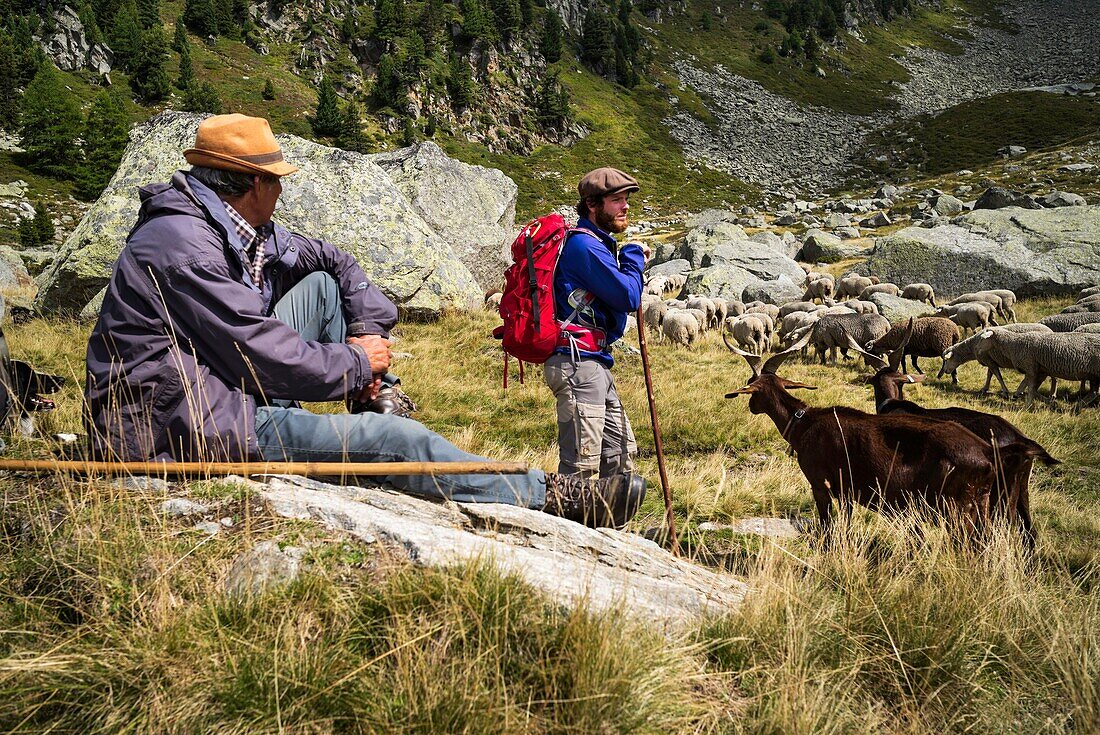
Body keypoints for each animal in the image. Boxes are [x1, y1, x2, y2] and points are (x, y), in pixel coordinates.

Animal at [726, 334, 1007, 539]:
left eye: (750, 383)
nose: (750, 406)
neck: (804, 422)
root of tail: (987, 457)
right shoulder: (847, 493)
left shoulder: (819, 484)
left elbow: (827, 525)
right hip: (980, 505)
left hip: (955, 508)